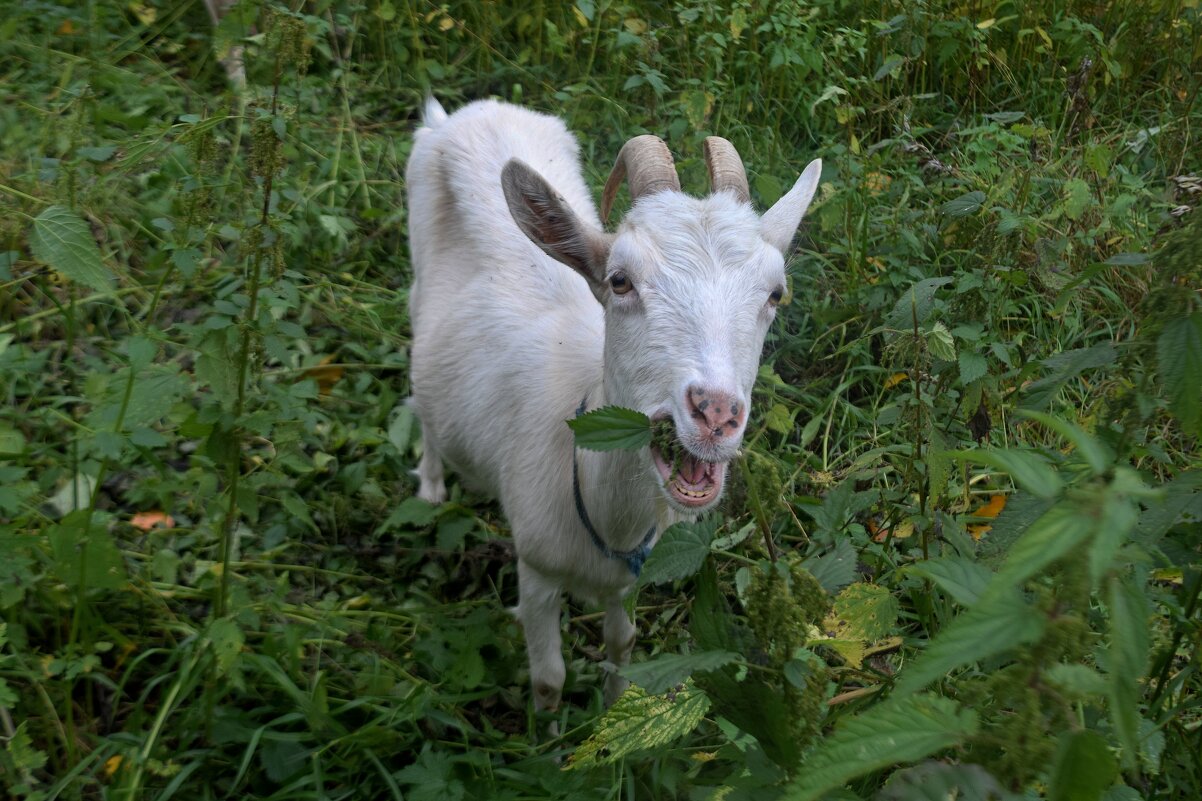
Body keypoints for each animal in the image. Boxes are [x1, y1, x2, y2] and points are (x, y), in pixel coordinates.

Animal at [408, 96, 822, 712]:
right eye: (620, 281)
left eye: (775, 294)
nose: (716, 414)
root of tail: (468, 112)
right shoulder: (535, 567)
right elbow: (548, 677)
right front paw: (548, 733)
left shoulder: (629, 579)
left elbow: (621, 643)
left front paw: (611, 709)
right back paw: (432, 487)